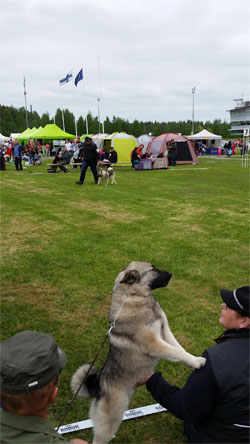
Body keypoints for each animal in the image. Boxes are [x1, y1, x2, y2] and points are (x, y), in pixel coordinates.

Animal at [71, 260, 206, 444]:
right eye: (152, 269)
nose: (171, 273)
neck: (135, 297)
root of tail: (98, 388)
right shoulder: (154, 343)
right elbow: (175, 352)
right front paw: (197, 362)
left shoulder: (165, 331)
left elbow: (179, 349)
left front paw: (193, 360)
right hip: (110, 420)